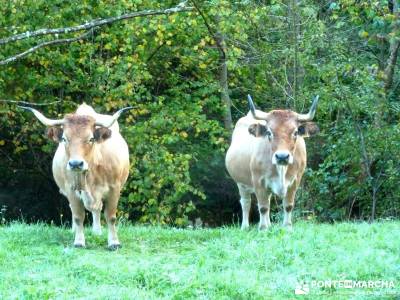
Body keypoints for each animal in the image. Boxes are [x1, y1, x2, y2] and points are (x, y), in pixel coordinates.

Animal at [20, 104, 131, 250]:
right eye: (64, 139)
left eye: (91, 139)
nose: (75, 163)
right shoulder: (71, 189)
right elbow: (78, 216)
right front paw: (79, 241)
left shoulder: (114, 188)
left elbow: (110, 216)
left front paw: (114, 242)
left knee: (97, 208)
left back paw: (97, 231)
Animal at [225, 95, 318, 230]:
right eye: (269, 132)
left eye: (295, 132)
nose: (282, 156)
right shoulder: (258, 181)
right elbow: (263, 207)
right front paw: (263, 228)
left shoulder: (295, 181)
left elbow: (288, 206)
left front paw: (287, 227)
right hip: (241, 183)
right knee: (246, 203)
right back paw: (245, 226)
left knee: (267, 201)